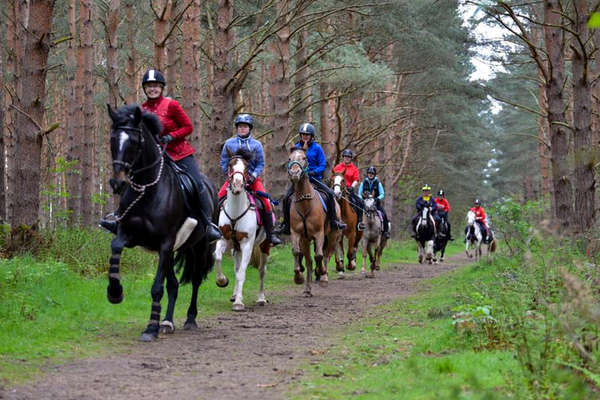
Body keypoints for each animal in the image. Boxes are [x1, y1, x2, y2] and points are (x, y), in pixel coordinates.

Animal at [106, 104, 217, 342]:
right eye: (112, 139)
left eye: (134, 141)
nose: (117, 182)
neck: (147, 188)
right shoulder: (129, 235)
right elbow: (115, 247)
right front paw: (115, 292)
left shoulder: (165, 242)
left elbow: (157, 287)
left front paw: (150, 328)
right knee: (174, 284)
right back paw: (167, 322)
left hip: (198, 247)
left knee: (195, 280)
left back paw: (190, 318)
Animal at [214, 152, 268, 310]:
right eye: (230, 165)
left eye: (247, 167)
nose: (238, 185)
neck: (235, 212)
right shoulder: (223, 239)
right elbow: (217, 257)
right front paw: (222, 281)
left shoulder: (247, 245)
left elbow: (242, 272)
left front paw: (238, 302)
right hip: (235, 248)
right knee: (236, 267)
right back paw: (234, 294)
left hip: (264, 245)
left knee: (262, 270)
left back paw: (261, 298)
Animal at [288, 148, 340, 296]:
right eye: (290, 159)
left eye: (304, 158)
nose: (295, 173)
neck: (305, 203)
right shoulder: (297, 234)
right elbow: (296, 253)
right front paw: (298, 278)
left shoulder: (319, 233)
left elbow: (320, 255)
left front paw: (321, 272)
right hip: (305, 240)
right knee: (309, 261)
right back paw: (307, 289)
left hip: (332, 235)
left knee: (326, 254)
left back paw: (323, 277)